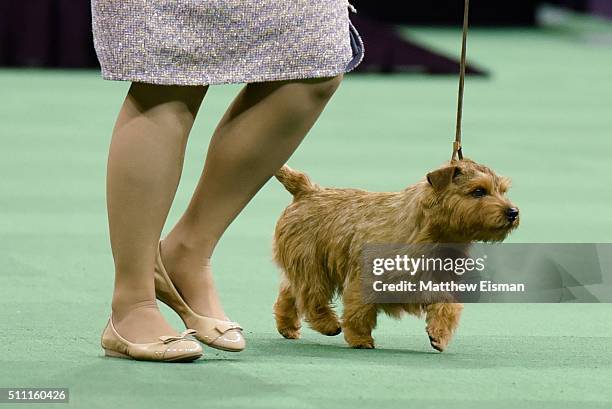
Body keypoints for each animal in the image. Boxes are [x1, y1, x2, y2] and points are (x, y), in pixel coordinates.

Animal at [274, 158, 520, 350]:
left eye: (502, 191)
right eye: (478, 191)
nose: (513, 212)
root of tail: (307, 189)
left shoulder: (436, 280)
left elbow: (448, 306)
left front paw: (439, 334)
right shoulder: (370, 276)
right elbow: (358, 309)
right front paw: (360, 338)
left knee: (289, 292)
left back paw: (287, 327)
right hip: (313, 264)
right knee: (311, 296)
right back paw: (328, 324)